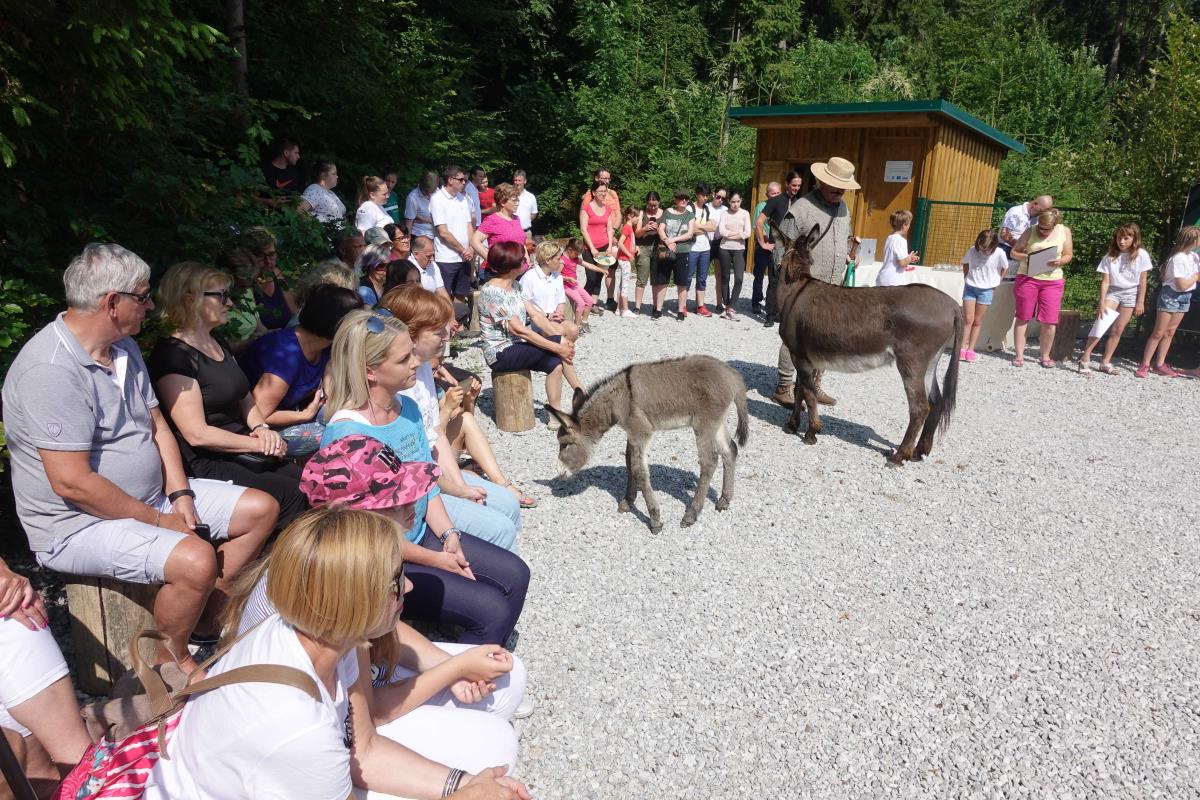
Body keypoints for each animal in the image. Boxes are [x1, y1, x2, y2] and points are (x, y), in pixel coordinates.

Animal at [547, 355, 749, 532]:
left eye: (565, 444)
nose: (559, 472)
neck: (619, 399)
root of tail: (732, 376)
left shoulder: (641, 432)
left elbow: (639, 471)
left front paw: (655, 520)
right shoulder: (632, 433)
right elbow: (629, 463)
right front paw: (627, 501)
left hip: (704, 424)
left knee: (709, 462)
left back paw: (691, 515)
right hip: (716, 423)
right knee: (730, 450)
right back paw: (724, 500)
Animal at [774, 223, 963, 464]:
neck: (796, 289)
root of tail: (953, 305)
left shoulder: (799, 356)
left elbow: (808, 394)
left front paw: (811, 432)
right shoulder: (805, 357)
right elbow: (800, 390)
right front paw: (792, 425)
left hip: (912, 362)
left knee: (920, 408)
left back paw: (899, 456)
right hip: (930, 363)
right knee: (936, 402)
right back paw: (919, 452)